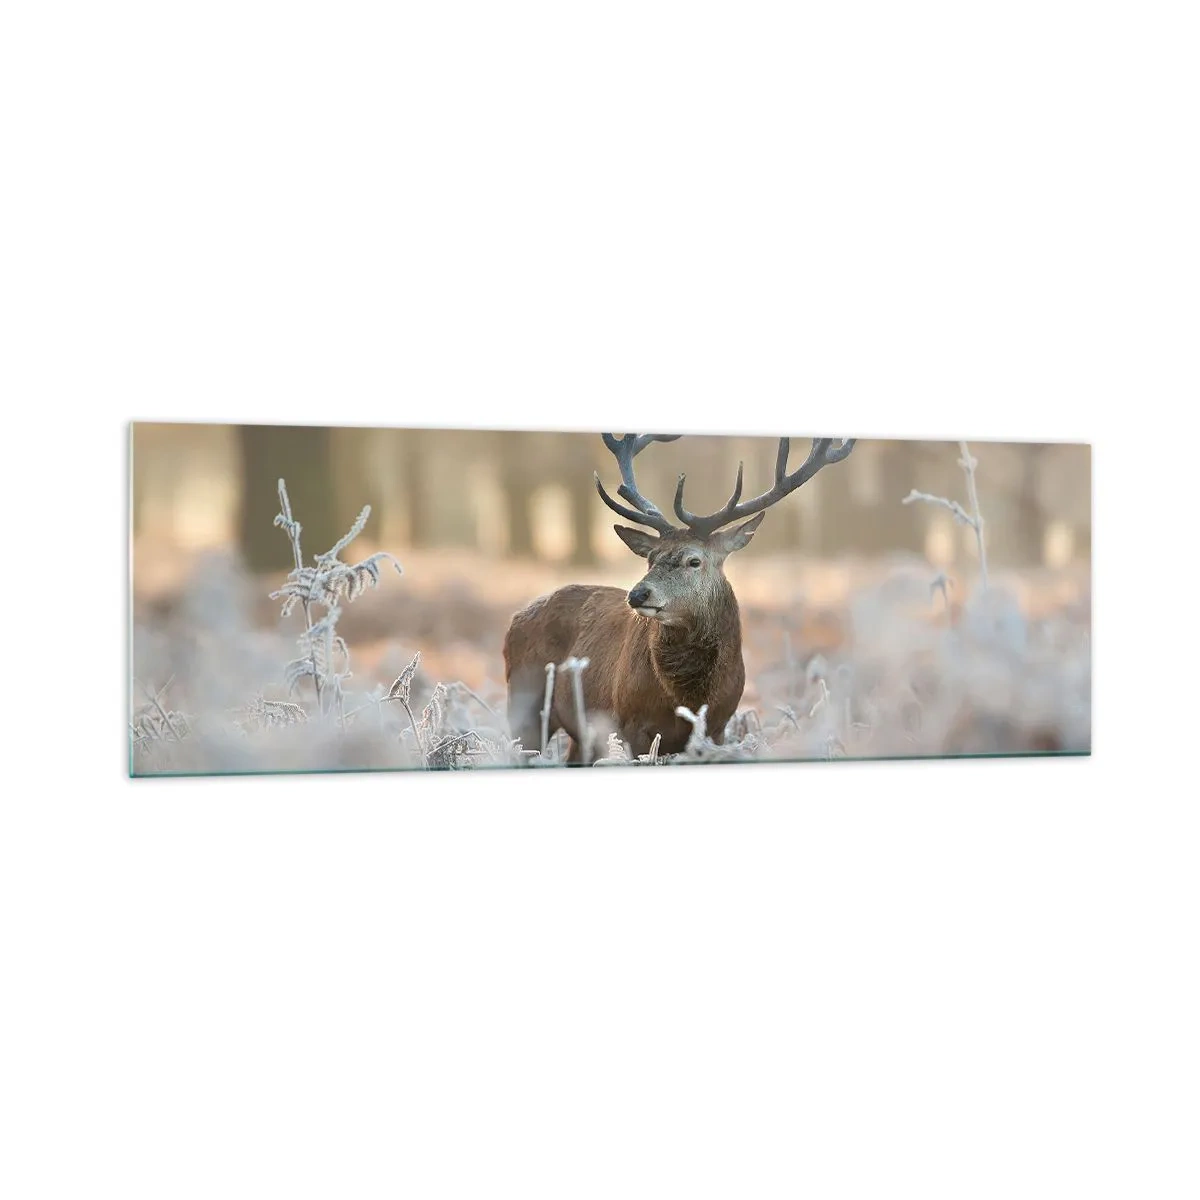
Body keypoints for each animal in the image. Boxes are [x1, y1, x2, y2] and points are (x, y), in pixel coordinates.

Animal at [503, 432, 856, 763]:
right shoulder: (630, 725)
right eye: (650, 558)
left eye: (694, 561)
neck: (688, 697)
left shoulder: (717, 728)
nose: (637, 594)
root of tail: (516, 617)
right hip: (523, 701)